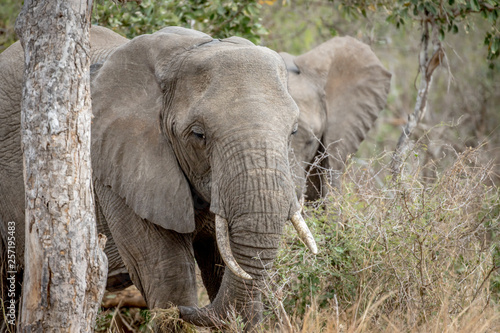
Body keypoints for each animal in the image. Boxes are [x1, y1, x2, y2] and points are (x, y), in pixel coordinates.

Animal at [0, 25, 316, 326]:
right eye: (198, 135)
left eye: (293, 132)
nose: (191, 311)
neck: (190, 48)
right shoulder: (116, 171)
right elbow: (167, 273)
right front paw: (176, 308)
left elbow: (223, 263)